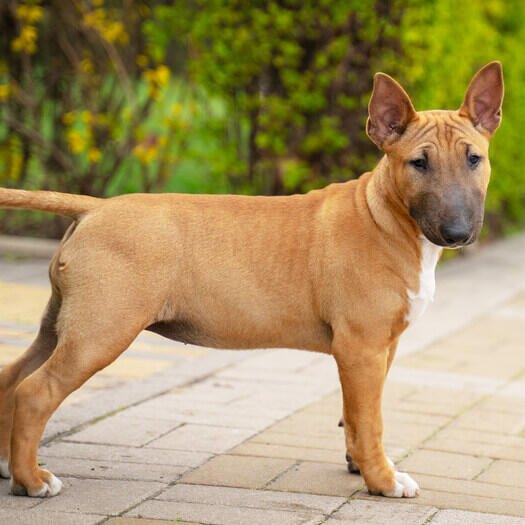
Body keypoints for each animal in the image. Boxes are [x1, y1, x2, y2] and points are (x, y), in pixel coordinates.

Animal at [0, 60, 502, 496]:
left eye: (474, 159)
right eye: (419, 163)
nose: (458, 233)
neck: (384, 216)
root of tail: (95, 208)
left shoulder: (381, 347)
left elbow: (355, 415)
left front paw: (362, 465)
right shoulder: (361, 346)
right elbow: (371, 418)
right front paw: (383, 481)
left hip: (62, 324)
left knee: (13, 378)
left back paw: (9, 466)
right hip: (101, 331)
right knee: (35, 391)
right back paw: (32, 480)